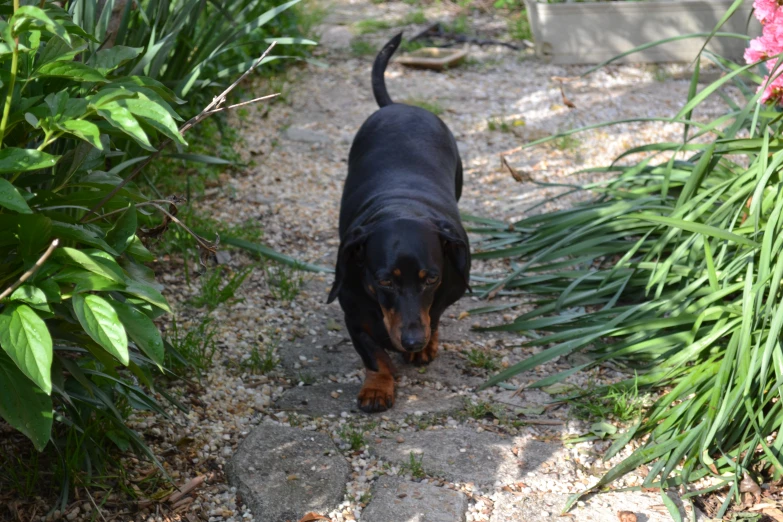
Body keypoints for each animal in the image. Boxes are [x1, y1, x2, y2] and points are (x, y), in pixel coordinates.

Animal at [326, 33, 468, 414]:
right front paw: (378, 387)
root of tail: (398, 105)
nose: (413, 341)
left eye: (430, 278)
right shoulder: (353, 314)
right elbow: (374, 355)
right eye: (384, 280)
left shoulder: (442, 294)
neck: (400, 208)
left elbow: (434, 315)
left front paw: (427, 346)